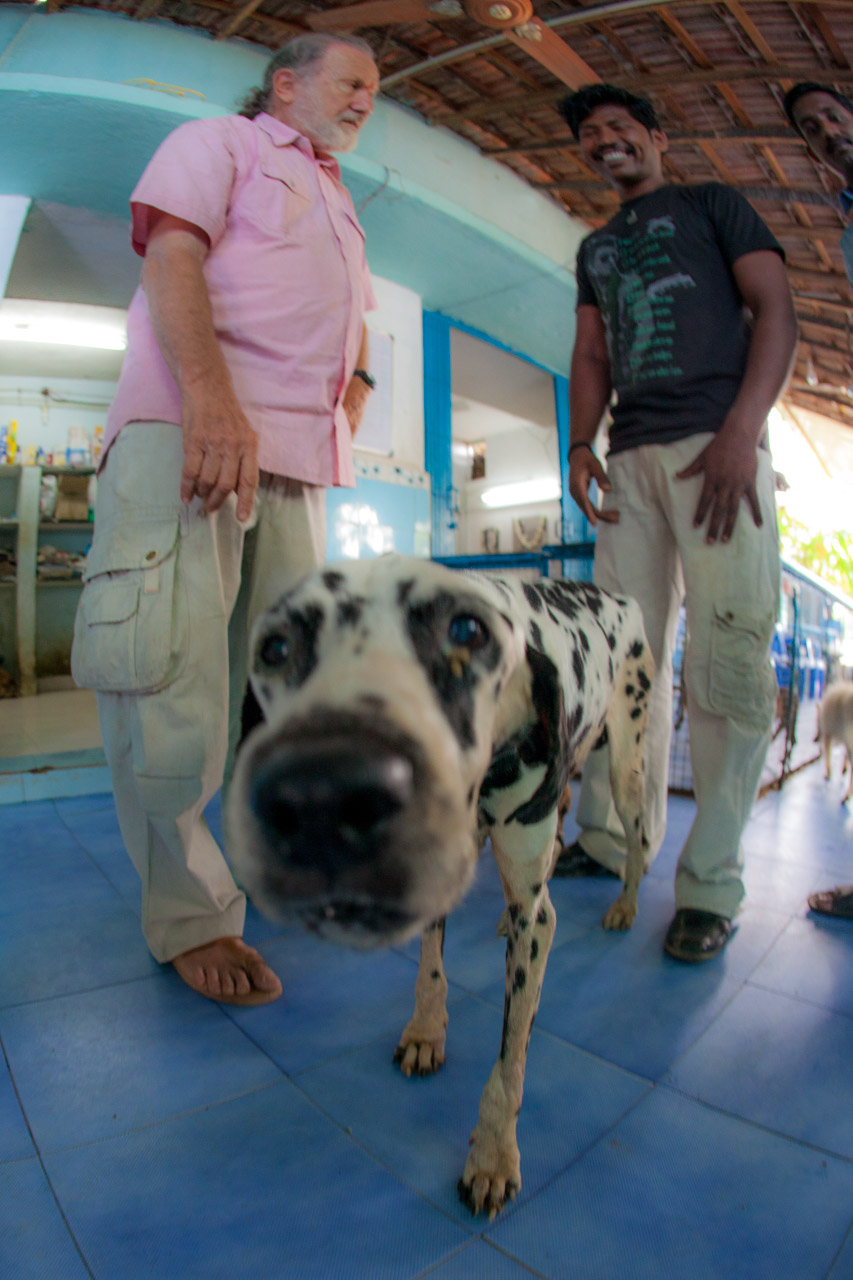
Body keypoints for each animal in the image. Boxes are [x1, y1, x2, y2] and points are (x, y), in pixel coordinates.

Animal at [227, 554, 654, 1218]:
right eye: (276, 647)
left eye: (467, 632)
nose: (325, 791)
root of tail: (617, 597)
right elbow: (430, 966)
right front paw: (426, 1031)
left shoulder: (536, 917)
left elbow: (511, 1054)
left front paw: (494, 1155)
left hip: (627, 770)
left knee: (636, 841)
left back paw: (626, 904)